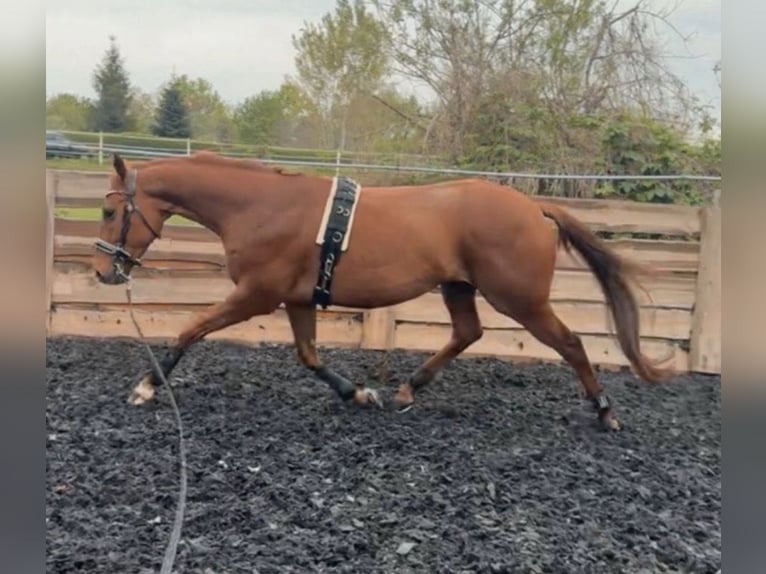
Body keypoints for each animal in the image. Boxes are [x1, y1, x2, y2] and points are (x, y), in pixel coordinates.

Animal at [92, 152, 668, 431]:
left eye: (107, 209)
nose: (103, 271)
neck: (260, 206)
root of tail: (533, 207)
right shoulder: (296, 298)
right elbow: (308, 355)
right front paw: (359, 393)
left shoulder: (258, 294)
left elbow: (191, 329)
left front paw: (147, 386)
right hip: (459, 287)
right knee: (468, 332)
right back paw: (409, 387)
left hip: (521, 299)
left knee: (570, 344)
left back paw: (605, 413)